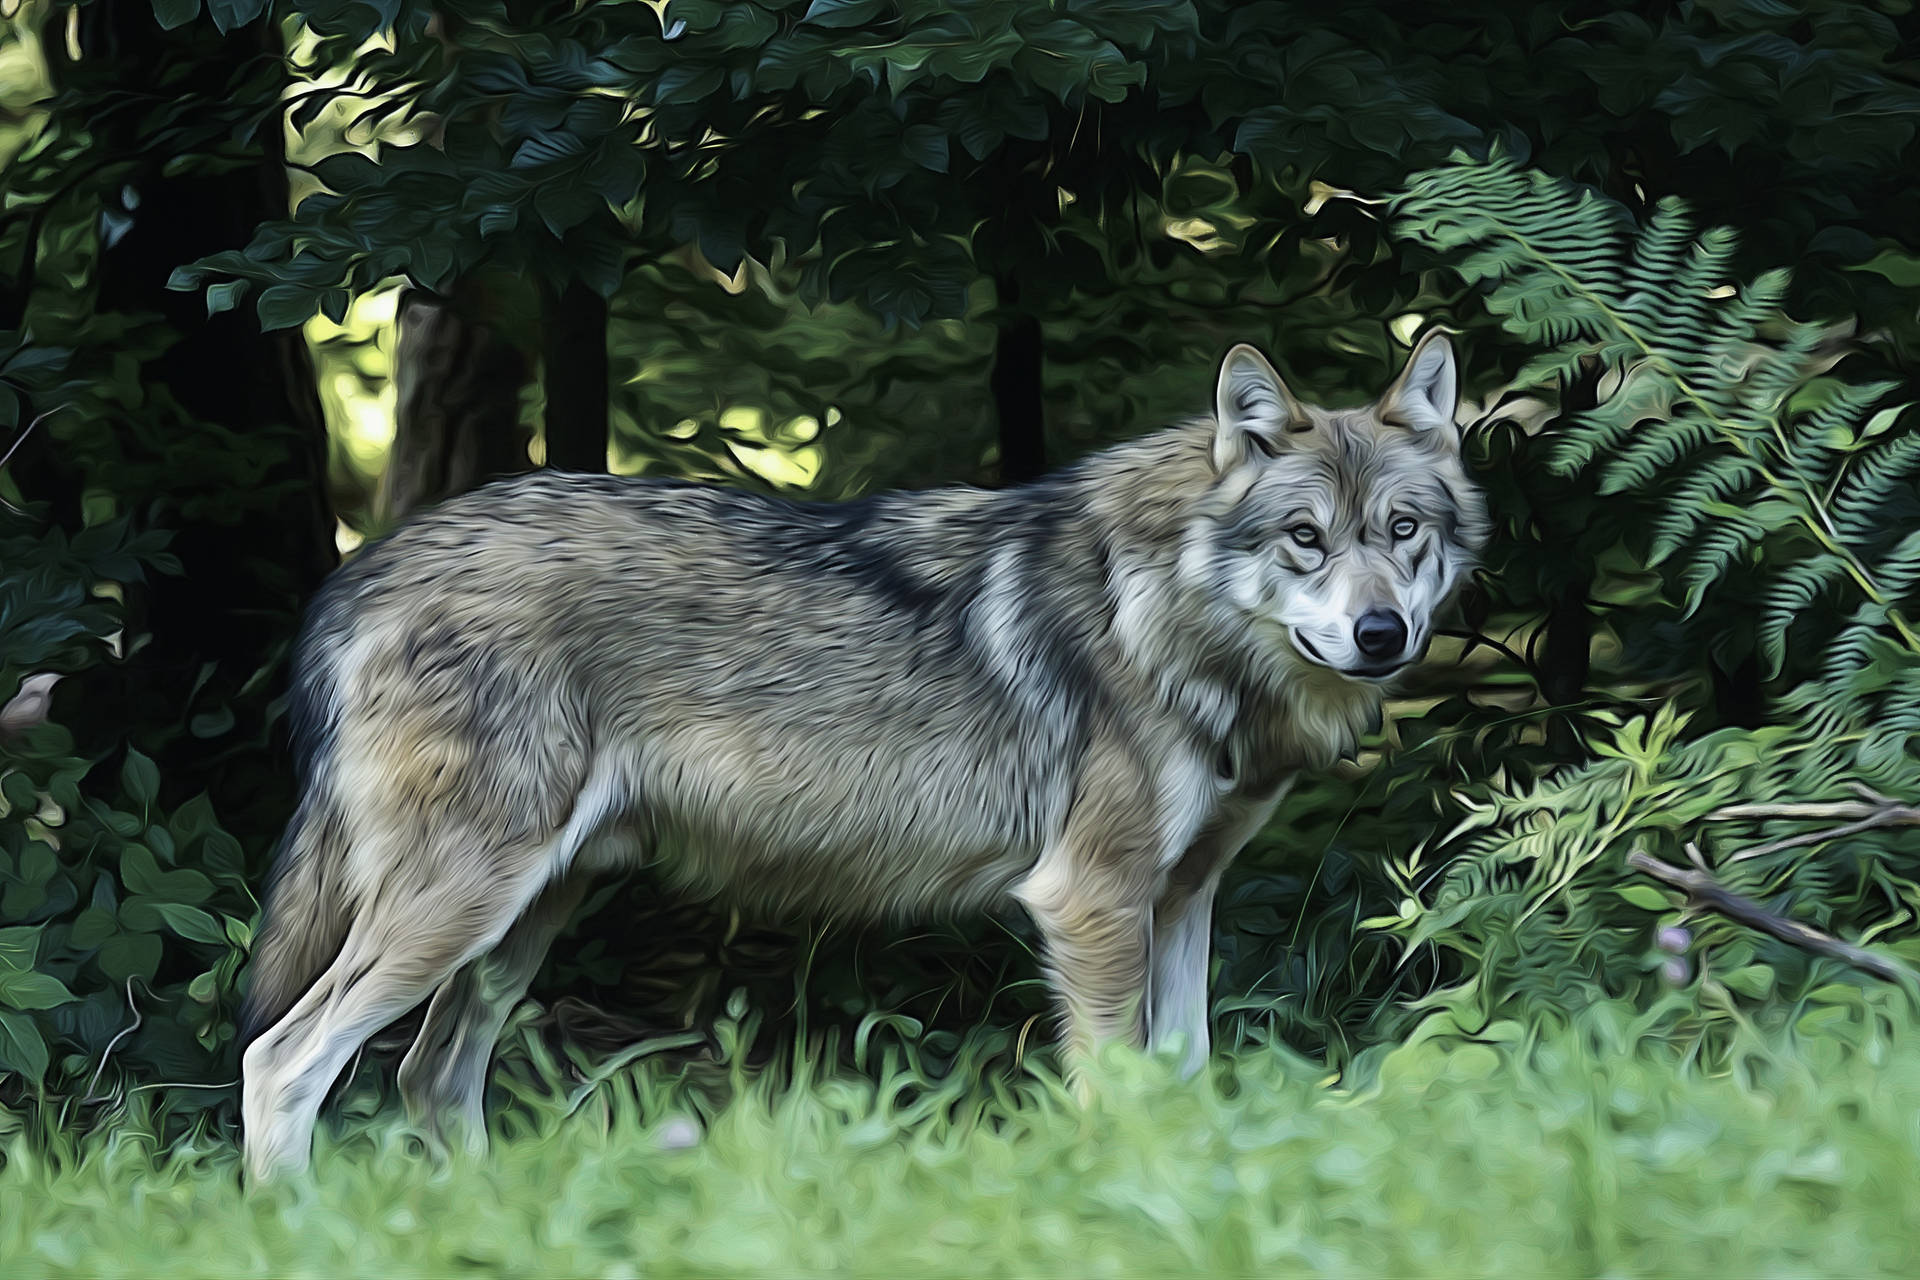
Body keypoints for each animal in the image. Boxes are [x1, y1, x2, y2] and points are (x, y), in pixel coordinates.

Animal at [240, 333, 1489, 1182]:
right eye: (1305, 538)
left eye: (1403, 531)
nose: (1383, 634)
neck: (1165, 610)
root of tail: (367, 564)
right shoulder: (1091, 903)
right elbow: (1119, 1095)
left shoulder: (1184, 900)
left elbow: (1181, 1083)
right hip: (463, 905)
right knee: (281, 1059)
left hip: (522, 918)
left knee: (427, 1075)